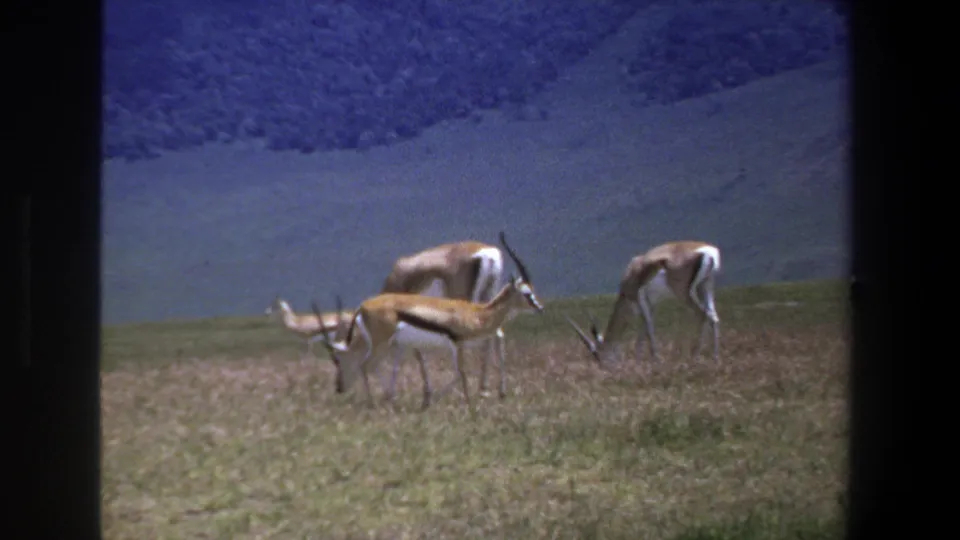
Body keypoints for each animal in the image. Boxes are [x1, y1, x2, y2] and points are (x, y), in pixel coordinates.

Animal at [312, 232, 544, 410]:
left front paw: (416, 396)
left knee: (491, 336)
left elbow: (413, 356)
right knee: (497, 335)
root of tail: (487, 253)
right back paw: (493, 391)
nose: (339, 387)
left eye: (338, 359)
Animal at [565, 241, 721, 367]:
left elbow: (649, 328)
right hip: (705, 287)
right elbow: (643, 331)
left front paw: (655, 360)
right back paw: (715, 358)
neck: (632, 273)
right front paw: (639, 361)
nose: (604, 368)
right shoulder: (652, 304)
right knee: (713, 317)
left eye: (597, 354)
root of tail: (707, 251)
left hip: (684, 293)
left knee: (702, 315)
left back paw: (694, 357)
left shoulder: (640, 299)